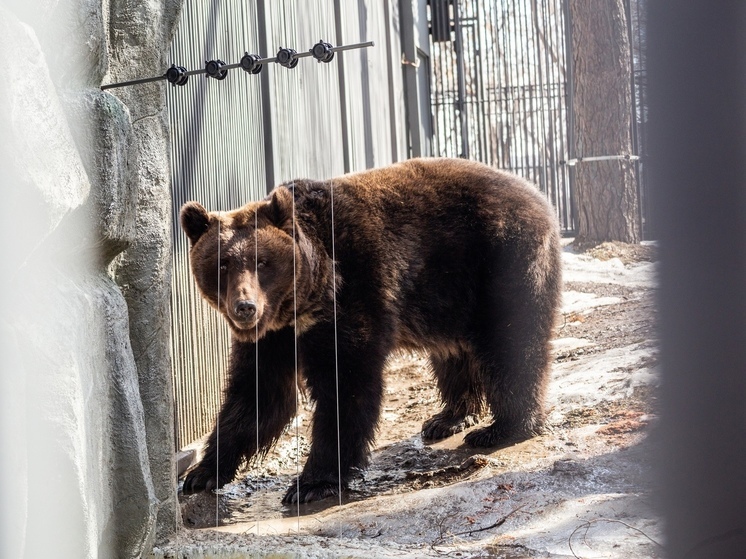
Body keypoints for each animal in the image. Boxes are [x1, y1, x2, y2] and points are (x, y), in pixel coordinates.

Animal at [180, 156, 560, 504]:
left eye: (262, 261)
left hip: (501, 260)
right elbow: (257, 394)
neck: (304, 300)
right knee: (453, 353)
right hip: (450, 295)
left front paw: (311, 482)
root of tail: (538, 195)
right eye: (222, 264)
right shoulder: (272, 337)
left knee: (510, 344)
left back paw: (503, 427)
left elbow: (345, 383)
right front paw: (201, 472)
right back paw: (448, 417)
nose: (244, 307)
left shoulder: (353, 292)